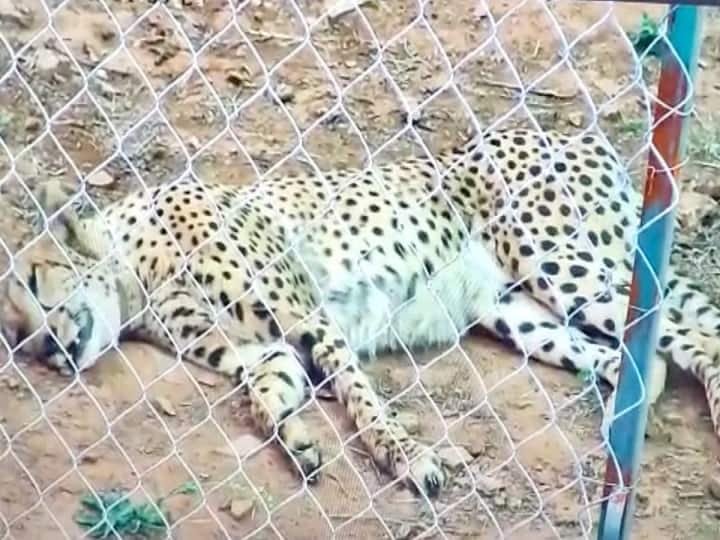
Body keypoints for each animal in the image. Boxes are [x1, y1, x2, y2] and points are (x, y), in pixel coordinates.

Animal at [3, 128, 720, 499]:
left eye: (36, 283)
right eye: (15, 335)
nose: (47, 348)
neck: (136, 273)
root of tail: (568, 132)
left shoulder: (309, 316)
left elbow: (361, 398)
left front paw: (404, 458)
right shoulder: (264, 350)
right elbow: (265, 396)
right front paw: (296, 438)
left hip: (569, 266)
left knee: (693, 334)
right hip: (514, 309)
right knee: (643, 356)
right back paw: (623, 409)